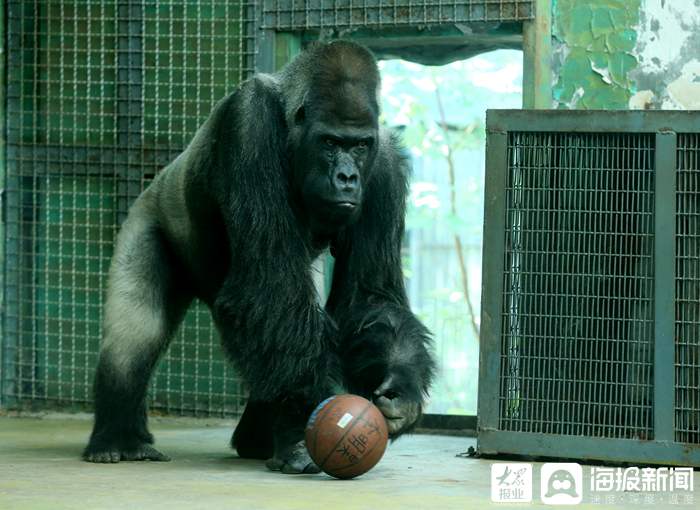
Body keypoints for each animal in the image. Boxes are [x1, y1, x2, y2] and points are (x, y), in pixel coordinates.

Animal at [80, 39, 432, 474]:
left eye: (360, 145)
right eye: (330, 142)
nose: (347, 177)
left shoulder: (384, 166)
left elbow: (369, 297)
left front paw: (401, 386)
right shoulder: (250, 124)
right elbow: (272, 287)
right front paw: (305, 420)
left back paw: (256, 435)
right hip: (147, 215)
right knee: (135, 334)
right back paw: (119, 438)